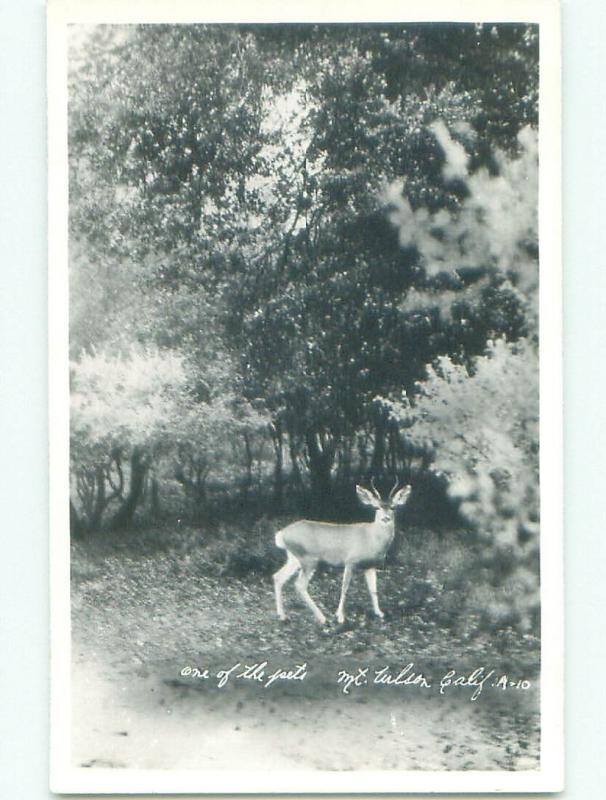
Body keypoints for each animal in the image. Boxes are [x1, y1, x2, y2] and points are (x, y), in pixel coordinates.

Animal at [274, 482, 414, 624]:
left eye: (393, 507)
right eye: (376, 507)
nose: (386, 518)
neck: (372, 538)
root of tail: (281, 534)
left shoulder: (370, 565)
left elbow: (373, 589)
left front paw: (379, 613)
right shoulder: (350, 561)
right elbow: (344, 588)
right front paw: (340, 616)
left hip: (294, 558)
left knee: (278, 577)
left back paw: (282, 615)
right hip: (308, 559)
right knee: (299, 585)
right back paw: (322, 617)